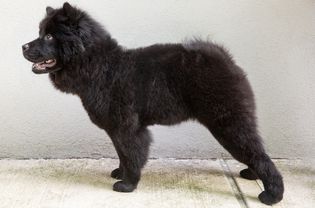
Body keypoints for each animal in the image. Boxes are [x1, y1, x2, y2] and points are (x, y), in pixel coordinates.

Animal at [22, 2, 284, 206]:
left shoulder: (127, 128)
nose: (23, 46)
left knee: (259, 154)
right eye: (40, 32)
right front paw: (120, 173)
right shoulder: (117, 129)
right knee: (256, 151)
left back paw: (272, 195)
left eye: (49, 36)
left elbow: (131, 155)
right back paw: (251, 173)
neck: (97, 66)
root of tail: (225, 59)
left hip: (228, 123)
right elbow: (122, 154)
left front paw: (127, 185)